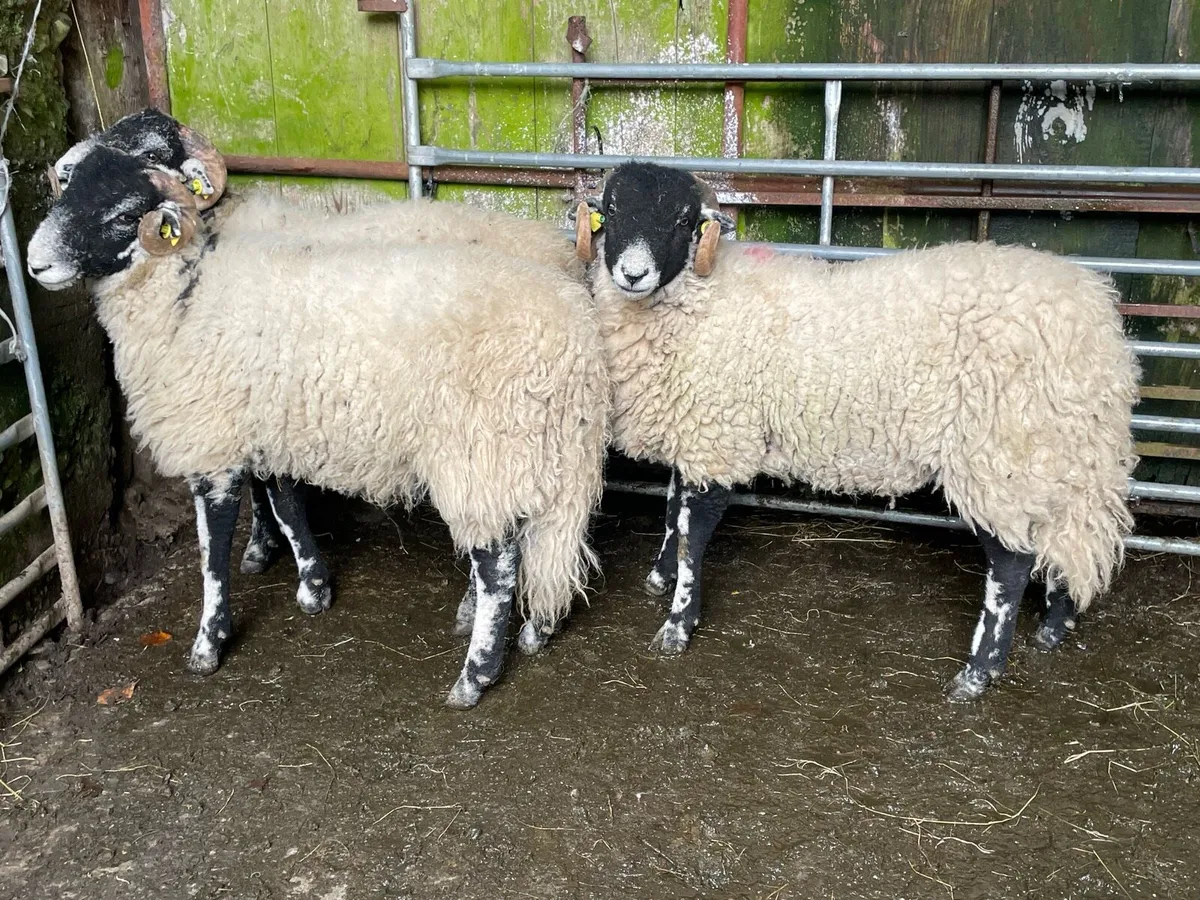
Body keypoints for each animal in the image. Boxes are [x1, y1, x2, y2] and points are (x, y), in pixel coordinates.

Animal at [28, 146, 608, 708]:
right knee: (544, 545)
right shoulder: (273, 427)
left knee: (498, 564)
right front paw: (312, 587)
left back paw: (475, 676)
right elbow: (285, 503)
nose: (35, 263)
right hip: (545, 451)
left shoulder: (214, 440)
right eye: (67, 187)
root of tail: (576, 334)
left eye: (125, 214)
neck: (186, 292)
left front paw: (209, 643)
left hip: (482, 453)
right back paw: (536, 630)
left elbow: (212, 551)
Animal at [578, 161, 1139, 700]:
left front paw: (677, 623)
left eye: (681, 221)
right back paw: (1055, 624)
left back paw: (978, 673)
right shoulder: (700, 434)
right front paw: (660, 575)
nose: (632, 274)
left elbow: (693, 535)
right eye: (612, 210)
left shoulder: (719, 433)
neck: (702, 295)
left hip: (998, 452)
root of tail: (1096, 323)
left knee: (1012, 563)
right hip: (1056, 453)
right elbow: (673, 509)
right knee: (1066, 537)